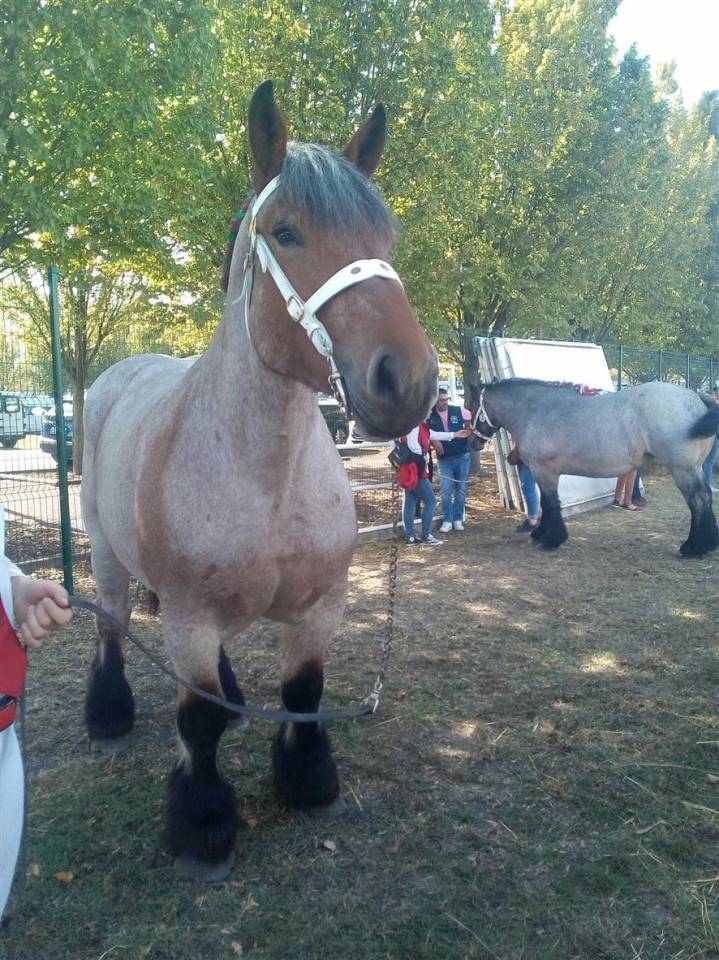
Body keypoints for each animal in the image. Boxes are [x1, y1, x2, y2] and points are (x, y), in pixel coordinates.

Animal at [80, 80, 438, 880]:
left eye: (387, 239)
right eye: (285, 232)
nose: (405, 381)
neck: (264, 475)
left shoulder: (319, 607)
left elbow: (302, 691)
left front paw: (308, 783)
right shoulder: (187, 616)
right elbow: (199, 720)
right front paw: (203, 825)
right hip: (105, 553)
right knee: (113, 624)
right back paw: (108, 713)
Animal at [469, 379, 719, 556]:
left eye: (472, 406)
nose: (473, 441)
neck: (536, 411)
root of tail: (696, 396)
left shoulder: (544, 471)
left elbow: (550, 504)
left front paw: (550, 539)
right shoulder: (544, 473)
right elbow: (546, 504)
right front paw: (541, 534)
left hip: (683, 470)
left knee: (697, 501)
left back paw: (692, 547)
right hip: (695, 468)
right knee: (706, 497)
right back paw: (707, 543)